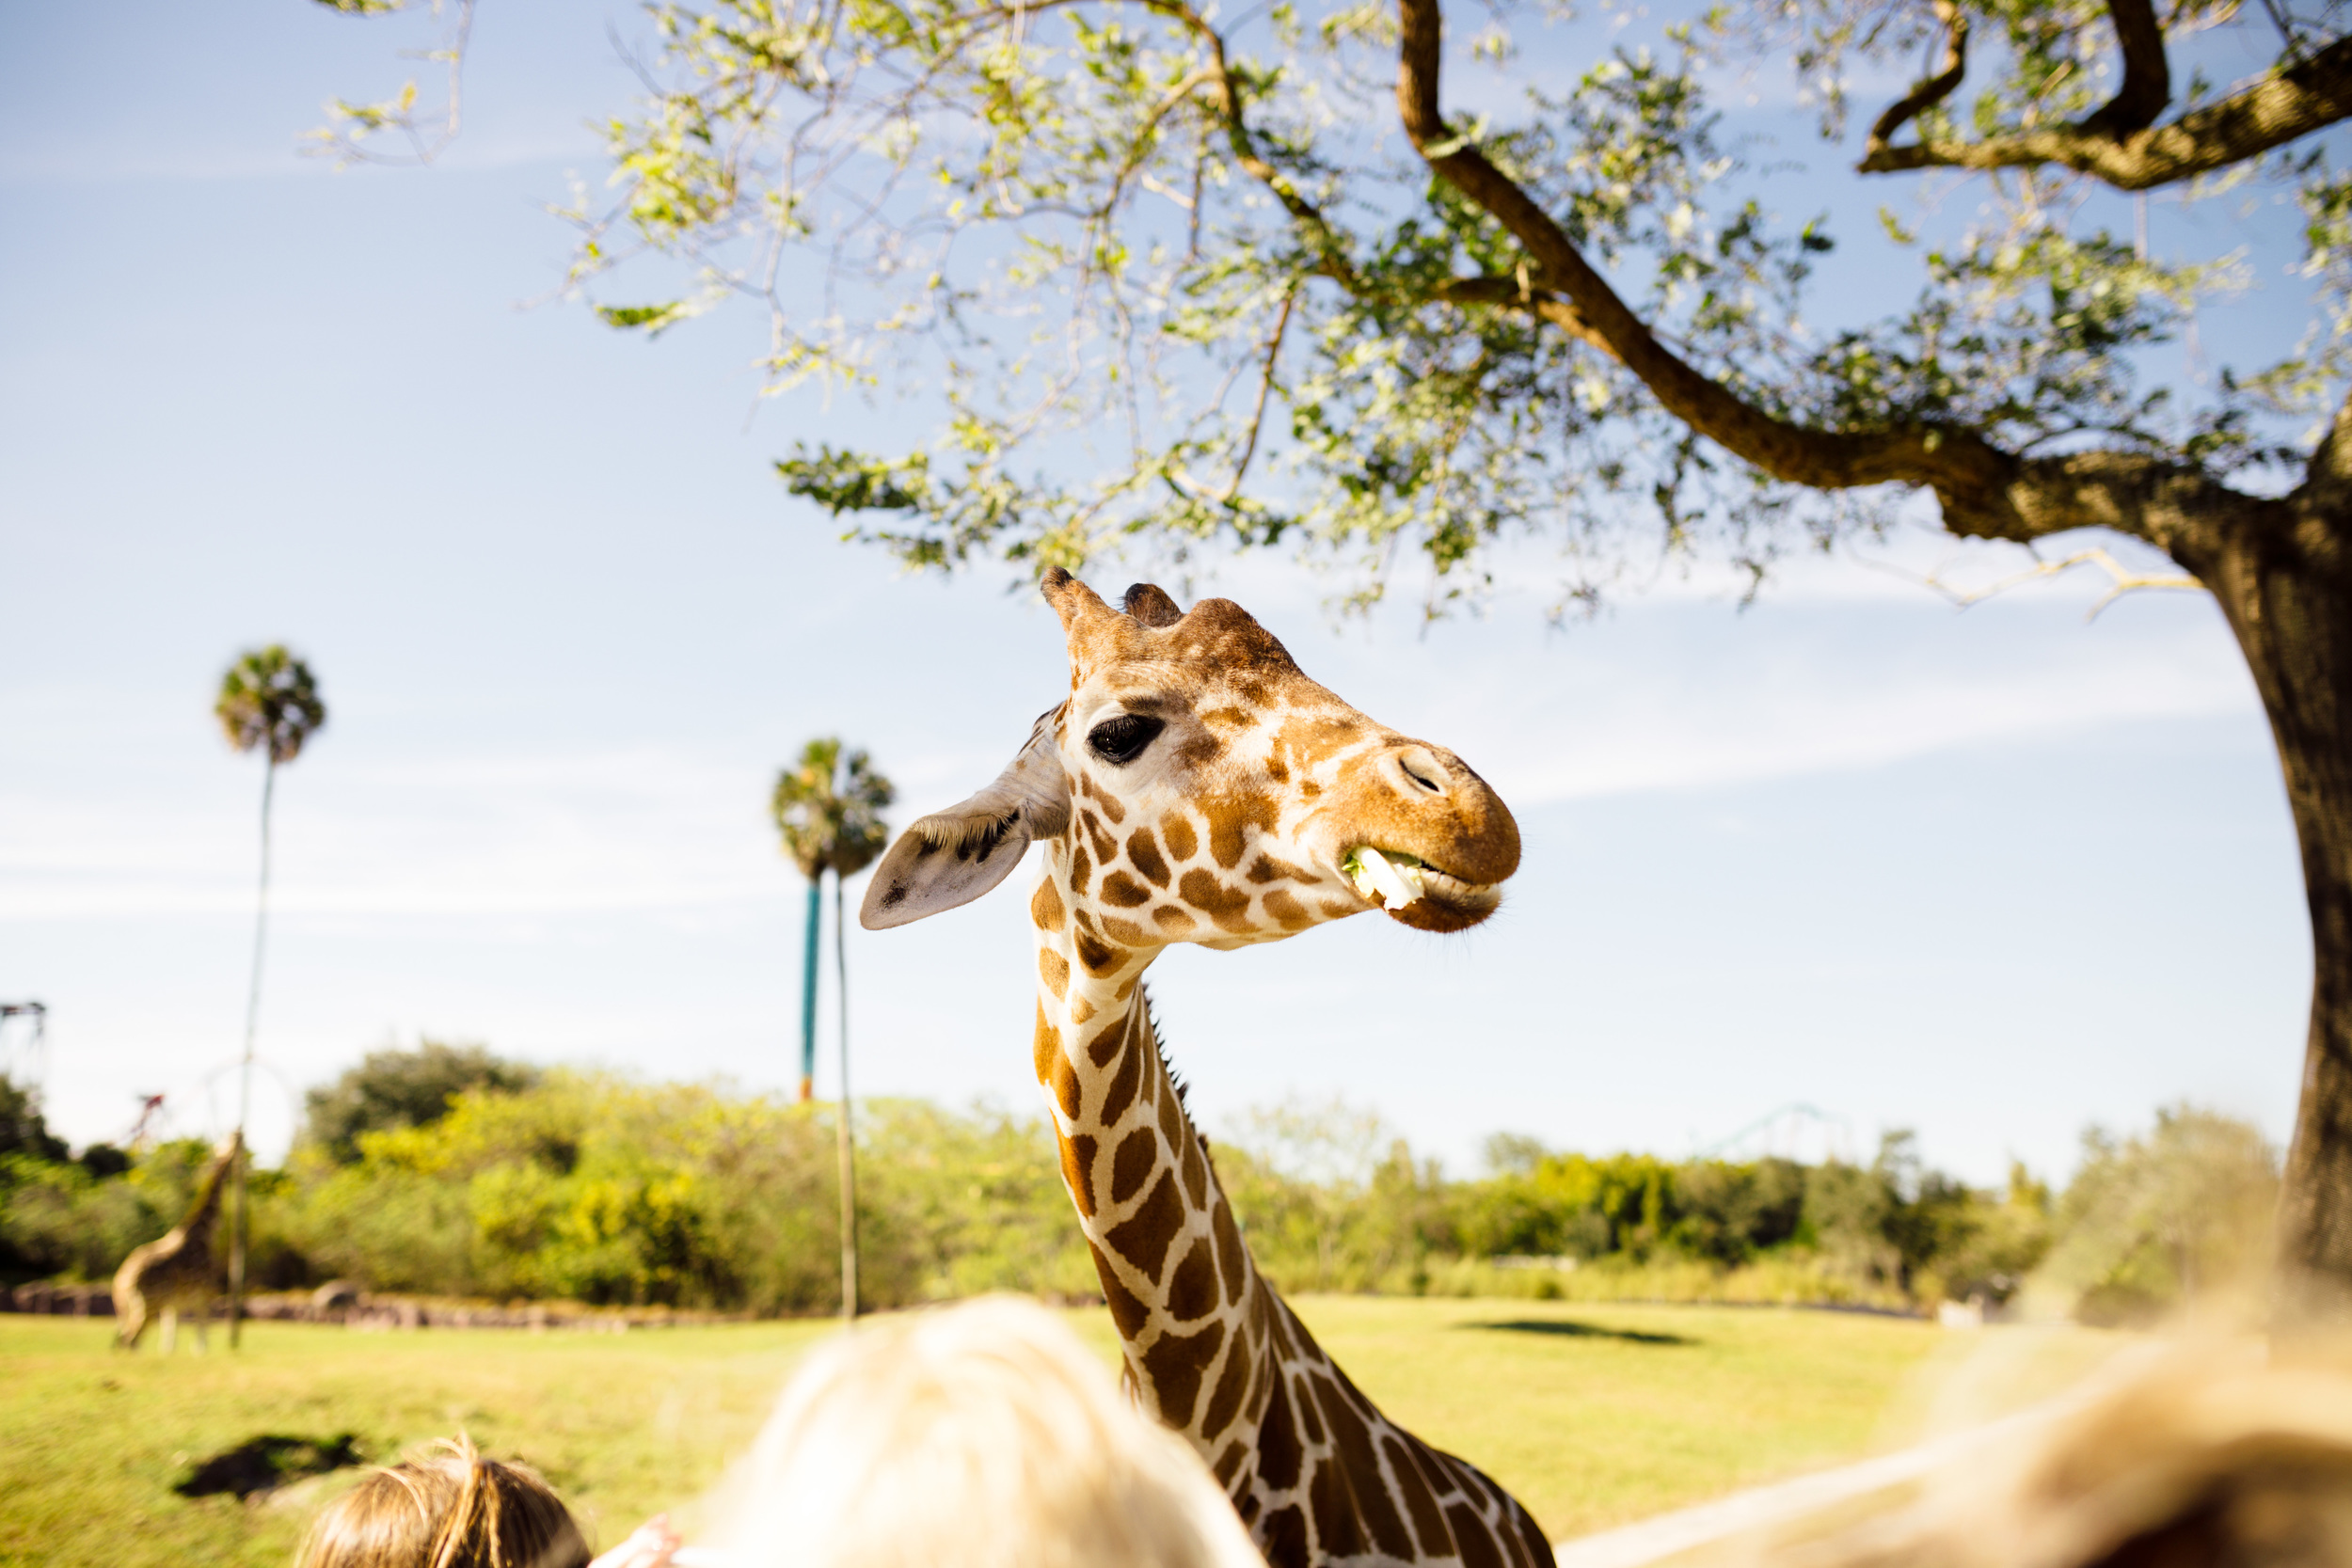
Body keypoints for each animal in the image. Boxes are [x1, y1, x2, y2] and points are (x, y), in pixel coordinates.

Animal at [113, 1132, 239, 1353]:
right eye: (237, 1141)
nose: (240, 1143)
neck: (205, 1232)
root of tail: (122, 1281)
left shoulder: (175, 1305)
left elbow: (169, 1344)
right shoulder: (204, 1295)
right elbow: (200, 1344)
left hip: (127, 1309)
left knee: (125, 1340)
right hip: (148, 1306)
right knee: (129, 1340)